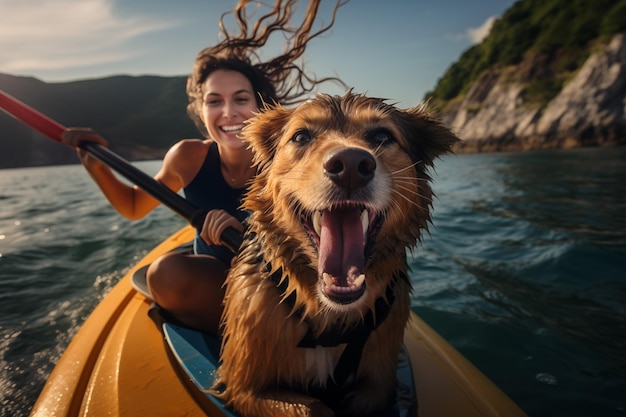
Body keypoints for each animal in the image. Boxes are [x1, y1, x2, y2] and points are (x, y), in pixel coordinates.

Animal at [212, 92, 456, 414]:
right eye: (301, 136)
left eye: (382, 135)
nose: (350, 165)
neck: (328, 322)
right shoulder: (242, 383)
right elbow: (309, 406)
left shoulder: (381, 377)